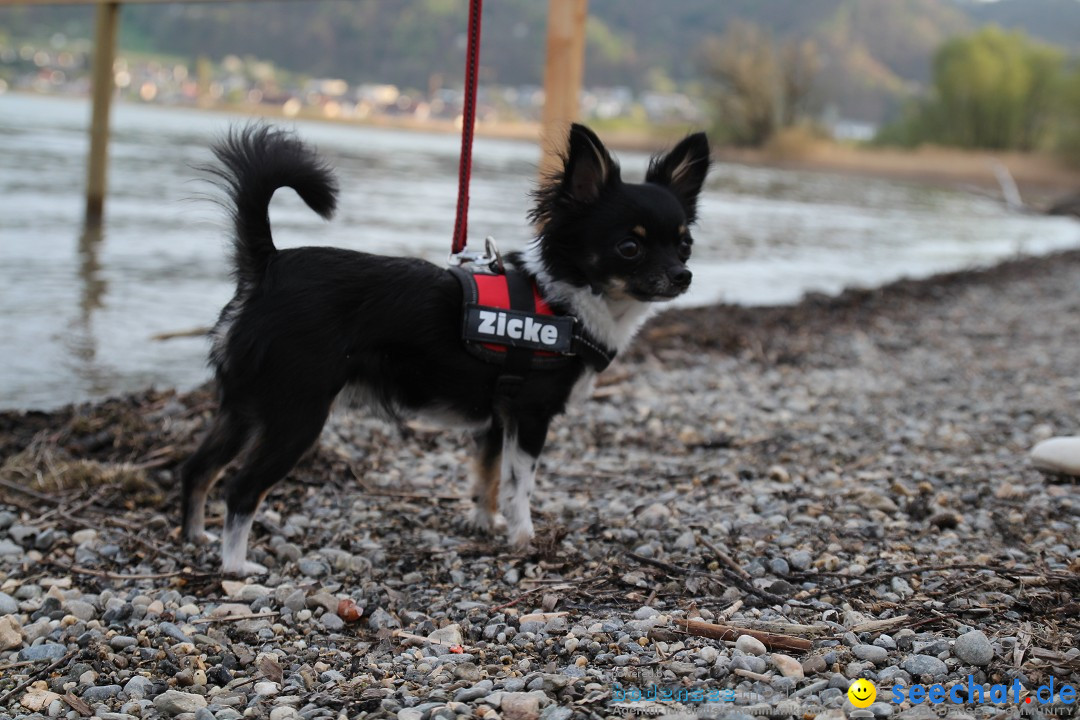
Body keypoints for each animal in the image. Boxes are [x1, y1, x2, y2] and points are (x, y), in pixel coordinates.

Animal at [184, 122, 708, 574]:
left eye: (685, 245)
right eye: (629, 248)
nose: (683, 275)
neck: (565, 297)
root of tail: (270, 265)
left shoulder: (499, 416)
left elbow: (487, 475)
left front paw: (483, 522)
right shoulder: (530, 417)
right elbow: (519, 484)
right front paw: (523, 538)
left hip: (245, 407)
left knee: (198, 467)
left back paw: (196, 538)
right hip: (297, 416)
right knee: (241, 489)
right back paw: (236, 566)